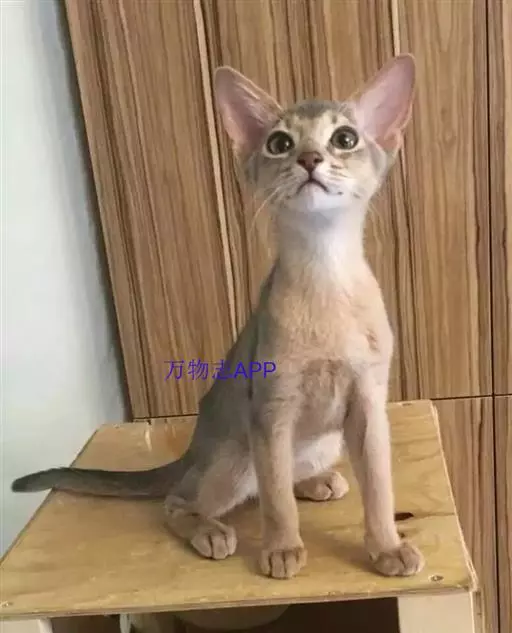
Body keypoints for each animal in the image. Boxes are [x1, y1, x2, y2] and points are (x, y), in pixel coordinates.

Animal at [12, 54, 424, 580]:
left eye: (345, 138)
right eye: (279, 143)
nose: (310, 159)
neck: (324, 271)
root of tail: (194, 449)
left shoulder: (369, 404)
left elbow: (378, 489)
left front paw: (387, 546)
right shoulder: (272, 407)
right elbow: (275, 500)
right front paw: (282, 548)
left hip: (325, 439)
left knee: (282, 476)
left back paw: (317, 482)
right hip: (236, 457)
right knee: (180, 499)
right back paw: (211, 531)